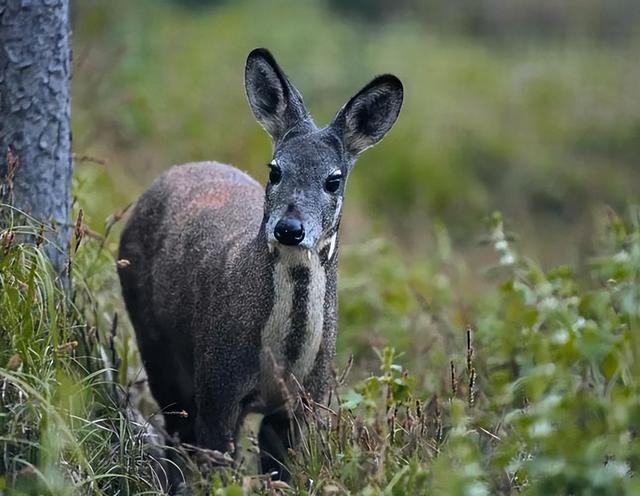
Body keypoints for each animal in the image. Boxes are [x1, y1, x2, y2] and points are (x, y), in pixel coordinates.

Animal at [117, 48, 402, 478]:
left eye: (333, 180)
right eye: (275, 169)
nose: (289, 229)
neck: (281, 362)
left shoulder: (304, 402)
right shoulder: (218, 384)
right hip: (154, 341)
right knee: (175, 430)